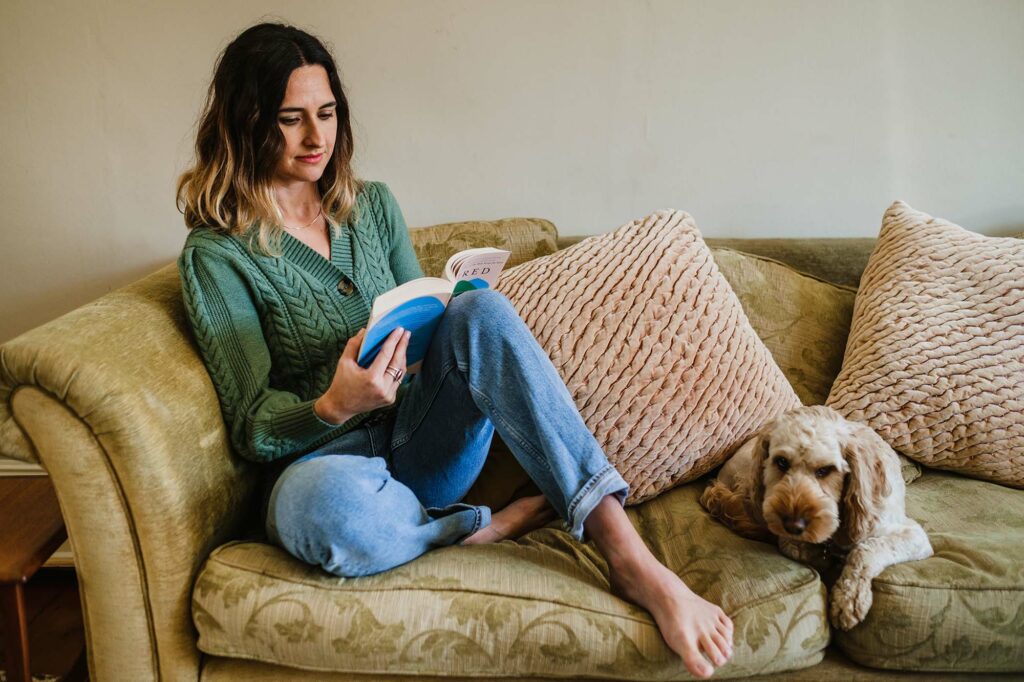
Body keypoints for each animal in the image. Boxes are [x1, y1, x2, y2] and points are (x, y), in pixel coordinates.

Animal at [700, 401, 933, 630]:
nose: (793, 525)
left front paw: (848, 598)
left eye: (826, 470)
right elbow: (796, 547)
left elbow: (866, 549)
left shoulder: (913, 536)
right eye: (781, 462)